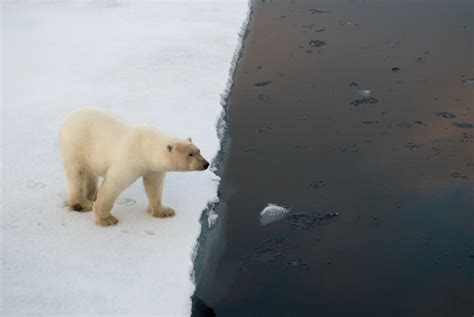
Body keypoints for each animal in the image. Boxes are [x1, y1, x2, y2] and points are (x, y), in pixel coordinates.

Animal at [57, 107, 209, 226]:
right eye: (190, 154)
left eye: (199, 150)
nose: (206, 164)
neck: (146, 146)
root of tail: (67, 119)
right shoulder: (130, 160)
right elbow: (113, 185)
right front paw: (107, 219)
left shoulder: (153, 168)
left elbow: (154, 186)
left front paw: (164, 211)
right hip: (76, 145)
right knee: (77, 173)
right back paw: (82, 204)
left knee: (90, 174)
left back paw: (92, 196)